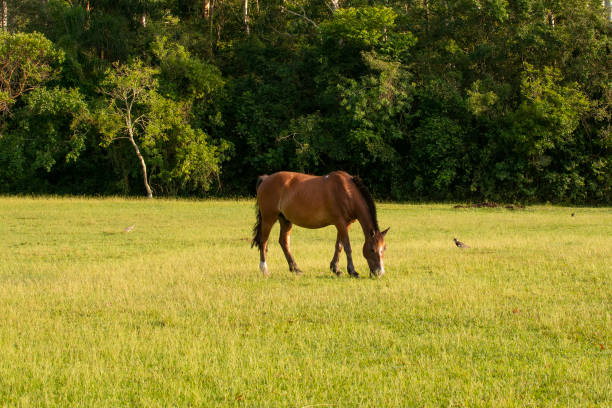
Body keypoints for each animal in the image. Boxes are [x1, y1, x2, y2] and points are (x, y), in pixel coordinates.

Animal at [251, 171, 390, 278]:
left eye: (384, 249)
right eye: (372, 249)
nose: (380, 273)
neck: (347, 191)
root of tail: (266, 179)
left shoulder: (345, 224)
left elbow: (339, 246)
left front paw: (336, 269)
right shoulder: (340, 223)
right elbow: (347, 247)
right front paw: (353, 271)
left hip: (285, 220)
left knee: (283, 242)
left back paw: (295, 268)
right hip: (269, 218)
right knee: (264, 241)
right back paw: (264, 269)